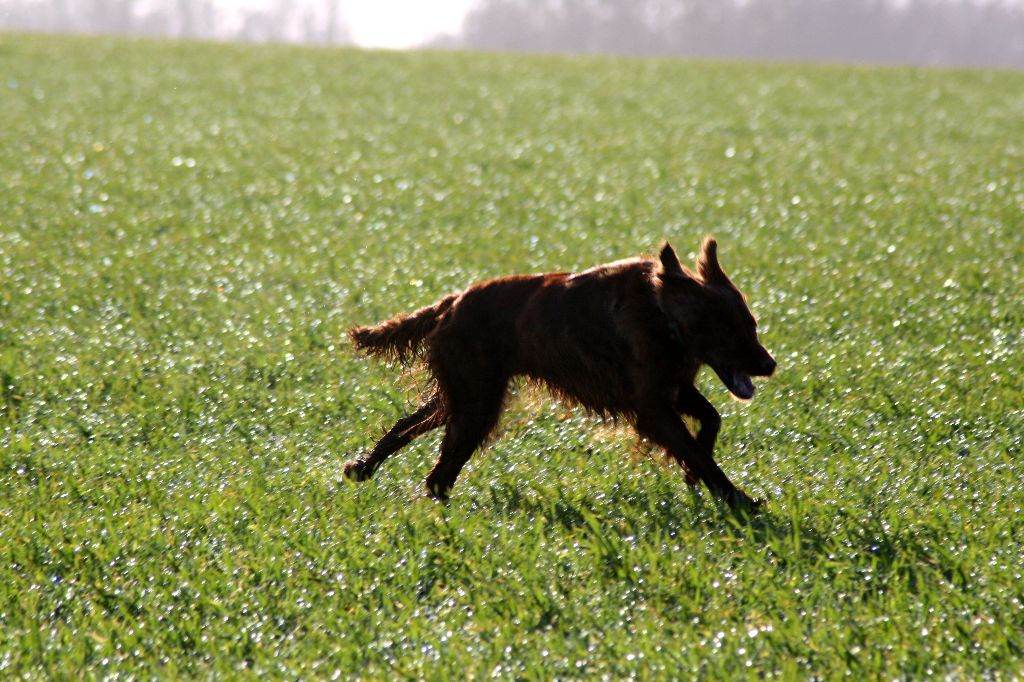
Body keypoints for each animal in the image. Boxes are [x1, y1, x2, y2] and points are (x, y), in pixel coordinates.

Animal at [344, 236, 774, 507]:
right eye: (731, 332)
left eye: (752, 324)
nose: (770, 365)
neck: (661, 312)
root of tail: (450, 303)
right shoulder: (652, 407)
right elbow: (697, 452)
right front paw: (738, 499)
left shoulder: (673, 388)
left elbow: (711, 421)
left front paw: (694, 477)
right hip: (476, 404)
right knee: (439, 473)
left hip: (465, 397)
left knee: (411, 432)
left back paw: (363, 468)